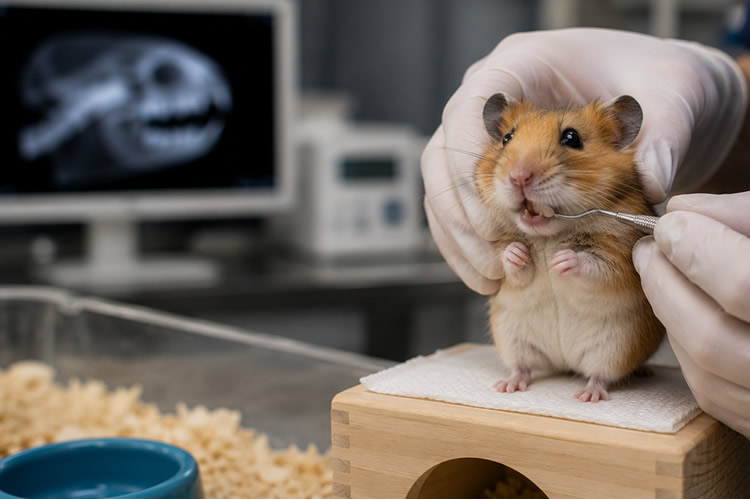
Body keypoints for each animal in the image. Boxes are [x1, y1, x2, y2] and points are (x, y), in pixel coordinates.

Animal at [475, 93, 663, 402]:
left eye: (572, 138)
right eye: (506, 138)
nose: (518, 176)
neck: (548, 236)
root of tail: (564, 363)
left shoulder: (620, 258)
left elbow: (594, 266)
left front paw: (560, 261)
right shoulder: (504, 268)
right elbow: (510, 263)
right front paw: (518, 253)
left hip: (615, 347)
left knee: (600, 375)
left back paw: (590, 395)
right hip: (513, 339)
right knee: (523, 367)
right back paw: (507, 386)